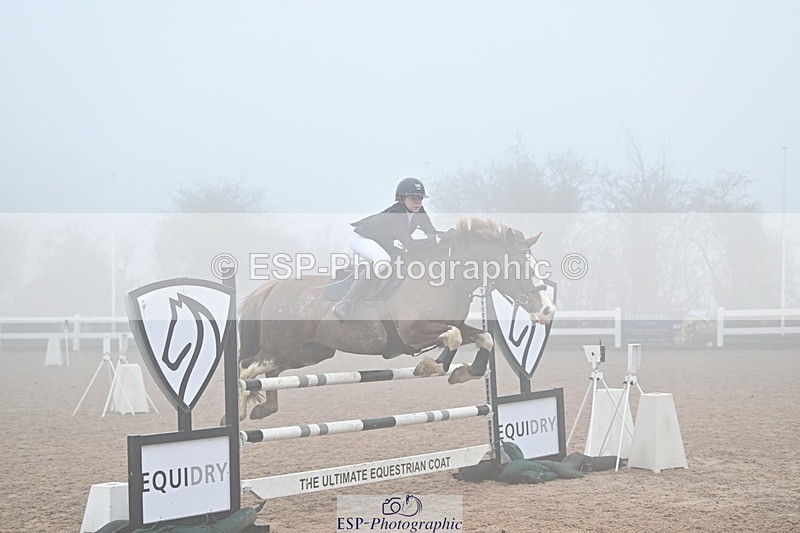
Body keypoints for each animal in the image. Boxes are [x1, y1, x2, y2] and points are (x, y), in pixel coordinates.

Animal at [234, 217, 555, 421]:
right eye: (516, 266)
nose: (547, 311)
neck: (446, 277)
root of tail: (272, 288)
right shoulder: (413, 332)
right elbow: (451, 336)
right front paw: (431, 366)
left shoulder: (454, 325)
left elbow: (483, 337)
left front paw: (463, 372)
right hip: (281, 348)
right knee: (247, 369)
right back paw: (236, 413)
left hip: (307, 353)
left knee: (270, 373)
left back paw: (264, 409)